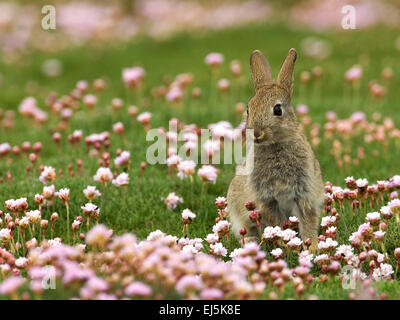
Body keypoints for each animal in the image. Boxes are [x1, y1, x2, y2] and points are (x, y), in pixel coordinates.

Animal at [227, 48, 324, 249]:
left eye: (278, 109)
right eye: (248, 109)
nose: (256, 133)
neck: (275, 145)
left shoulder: (305, 193)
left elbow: (308, 221)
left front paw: (312, 247)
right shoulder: (266, 199)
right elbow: (276, 223)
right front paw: (284, 244)